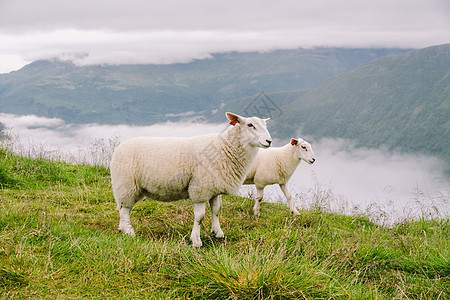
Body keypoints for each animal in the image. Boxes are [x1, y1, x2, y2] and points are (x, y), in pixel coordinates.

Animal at [109, 111, 270, 247]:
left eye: (265, 124)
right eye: (250, 125)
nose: (269, 141)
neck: (225, 148)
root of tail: (118, 148)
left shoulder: (214, 188)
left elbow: (216, 210)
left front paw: (218, 232)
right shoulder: (200, 189)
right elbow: (200, 217)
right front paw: (196, 241)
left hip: (134, 188)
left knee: (124, 209)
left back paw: (122, 228)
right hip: (126, 185)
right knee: (125, 210)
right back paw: (129, 232)